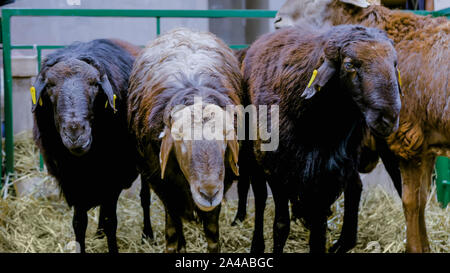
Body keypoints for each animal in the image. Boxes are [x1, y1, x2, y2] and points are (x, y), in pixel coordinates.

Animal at [31, 38, 140, 253]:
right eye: (50, 85)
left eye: (95, 84)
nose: (75, 133)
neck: (84, 162)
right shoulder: (74, 182)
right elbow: (79, 223)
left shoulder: (113, 179)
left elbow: (111, 221)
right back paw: (98, 233)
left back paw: (148, 234)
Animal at [126, 26, 243, 252]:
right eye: (180, 141)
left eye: (225, 138)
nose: (208, 193)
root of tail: (185, 29)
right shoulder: (163, 184)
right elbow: (171, 230)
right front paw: (176, 244)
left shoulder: (223, 182)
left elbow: (212, 233)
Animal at [244, 24, 402, 252]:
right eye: (349, 65)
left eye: (394, 64)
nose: (388, 118)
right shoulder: (276, 169)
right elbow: (281, 225)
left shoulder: (328, 174)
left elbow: (318, 233)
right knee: (260, 196)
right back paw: (257, 245)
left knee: (355, 187)